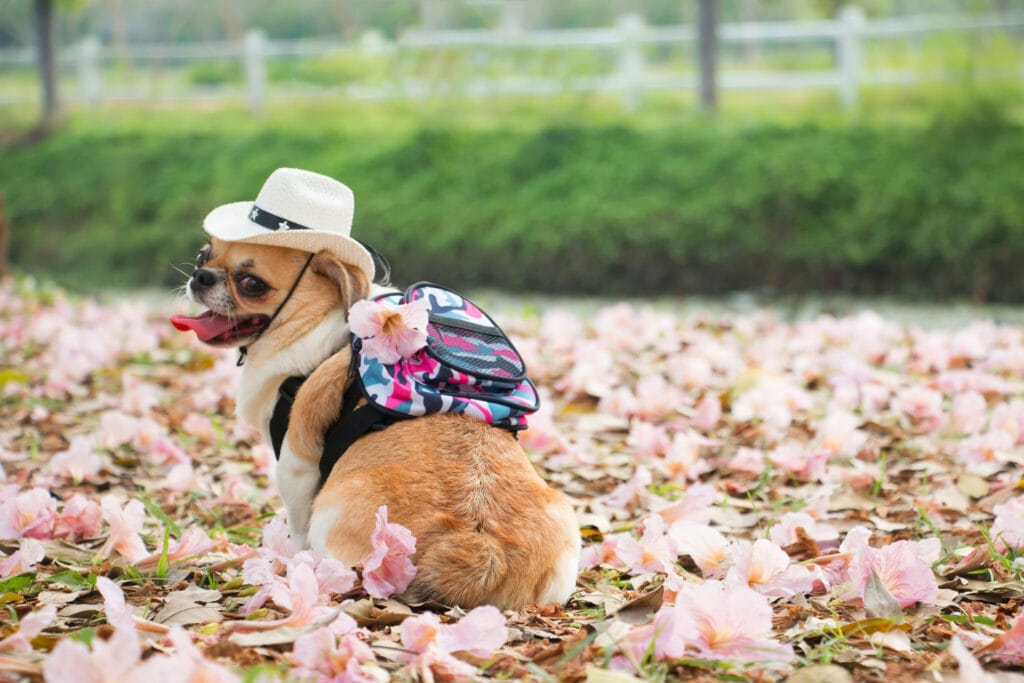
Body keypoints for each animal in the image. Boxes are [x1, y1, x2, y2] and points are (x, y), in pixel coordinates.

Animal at [172, 169, 581, 610]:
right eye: (202, 255)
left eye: (252, 284)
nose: (200, 275)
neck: (323, 325)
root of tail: (478, 546)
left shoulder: (295, 461)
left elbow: (296, 518)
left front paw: (290, 553)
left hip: (332, 514)